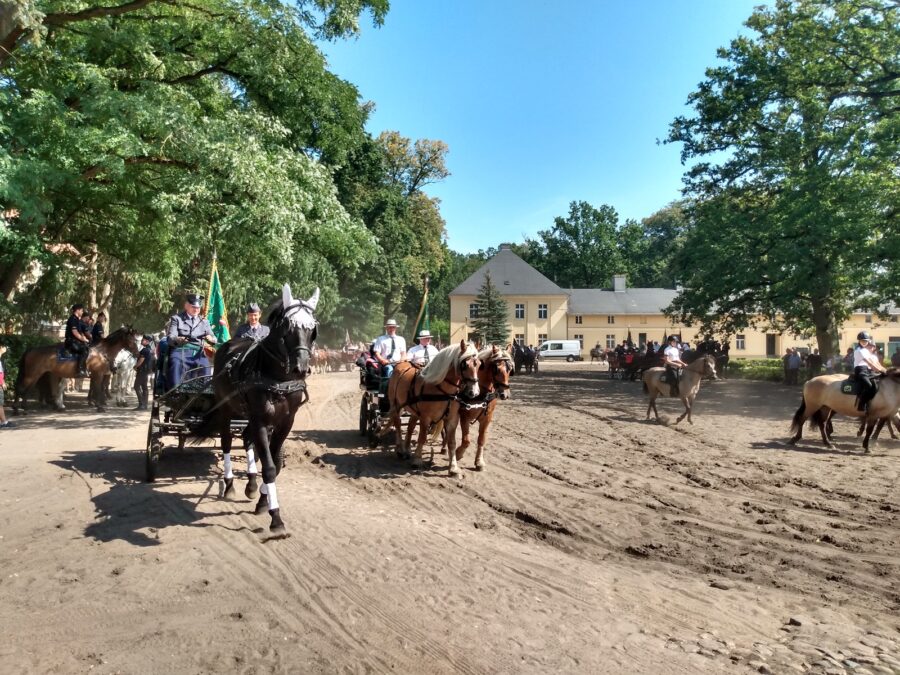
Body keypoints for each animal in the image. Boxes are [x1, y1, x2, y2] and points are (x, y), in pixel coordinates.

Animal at [195, 282, 322, 536]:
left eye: (312, 329)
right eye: (288, 327)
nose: (301, 368)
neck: (278, 378)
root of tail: (228, 345)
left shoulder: (285, 422)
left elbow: (274, 462)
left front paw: (263, 500)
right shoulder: (261, 420)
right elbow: (270, 467)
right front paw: (276, 518)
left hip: (248, 416)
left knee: (246, 439)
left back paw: (251, 484)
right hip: (228, 409)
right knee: (226, 442)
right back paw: (230, 483)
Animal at [388, 338, 482, 476]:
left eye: (479, 364)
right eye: (464, 364)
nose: (474, 392)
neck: (442, 389)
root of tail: (401, 364)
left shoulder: (452, 419)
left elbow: (452, 442)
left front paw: (453, 467)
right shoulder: (425, 417)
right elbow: (422, 438)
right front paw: (417, 460)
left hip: (414, 410)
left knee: (410, 426)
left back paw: (407, 449)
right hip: (396, 405)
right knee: (398, 424)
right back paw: (400, 449)